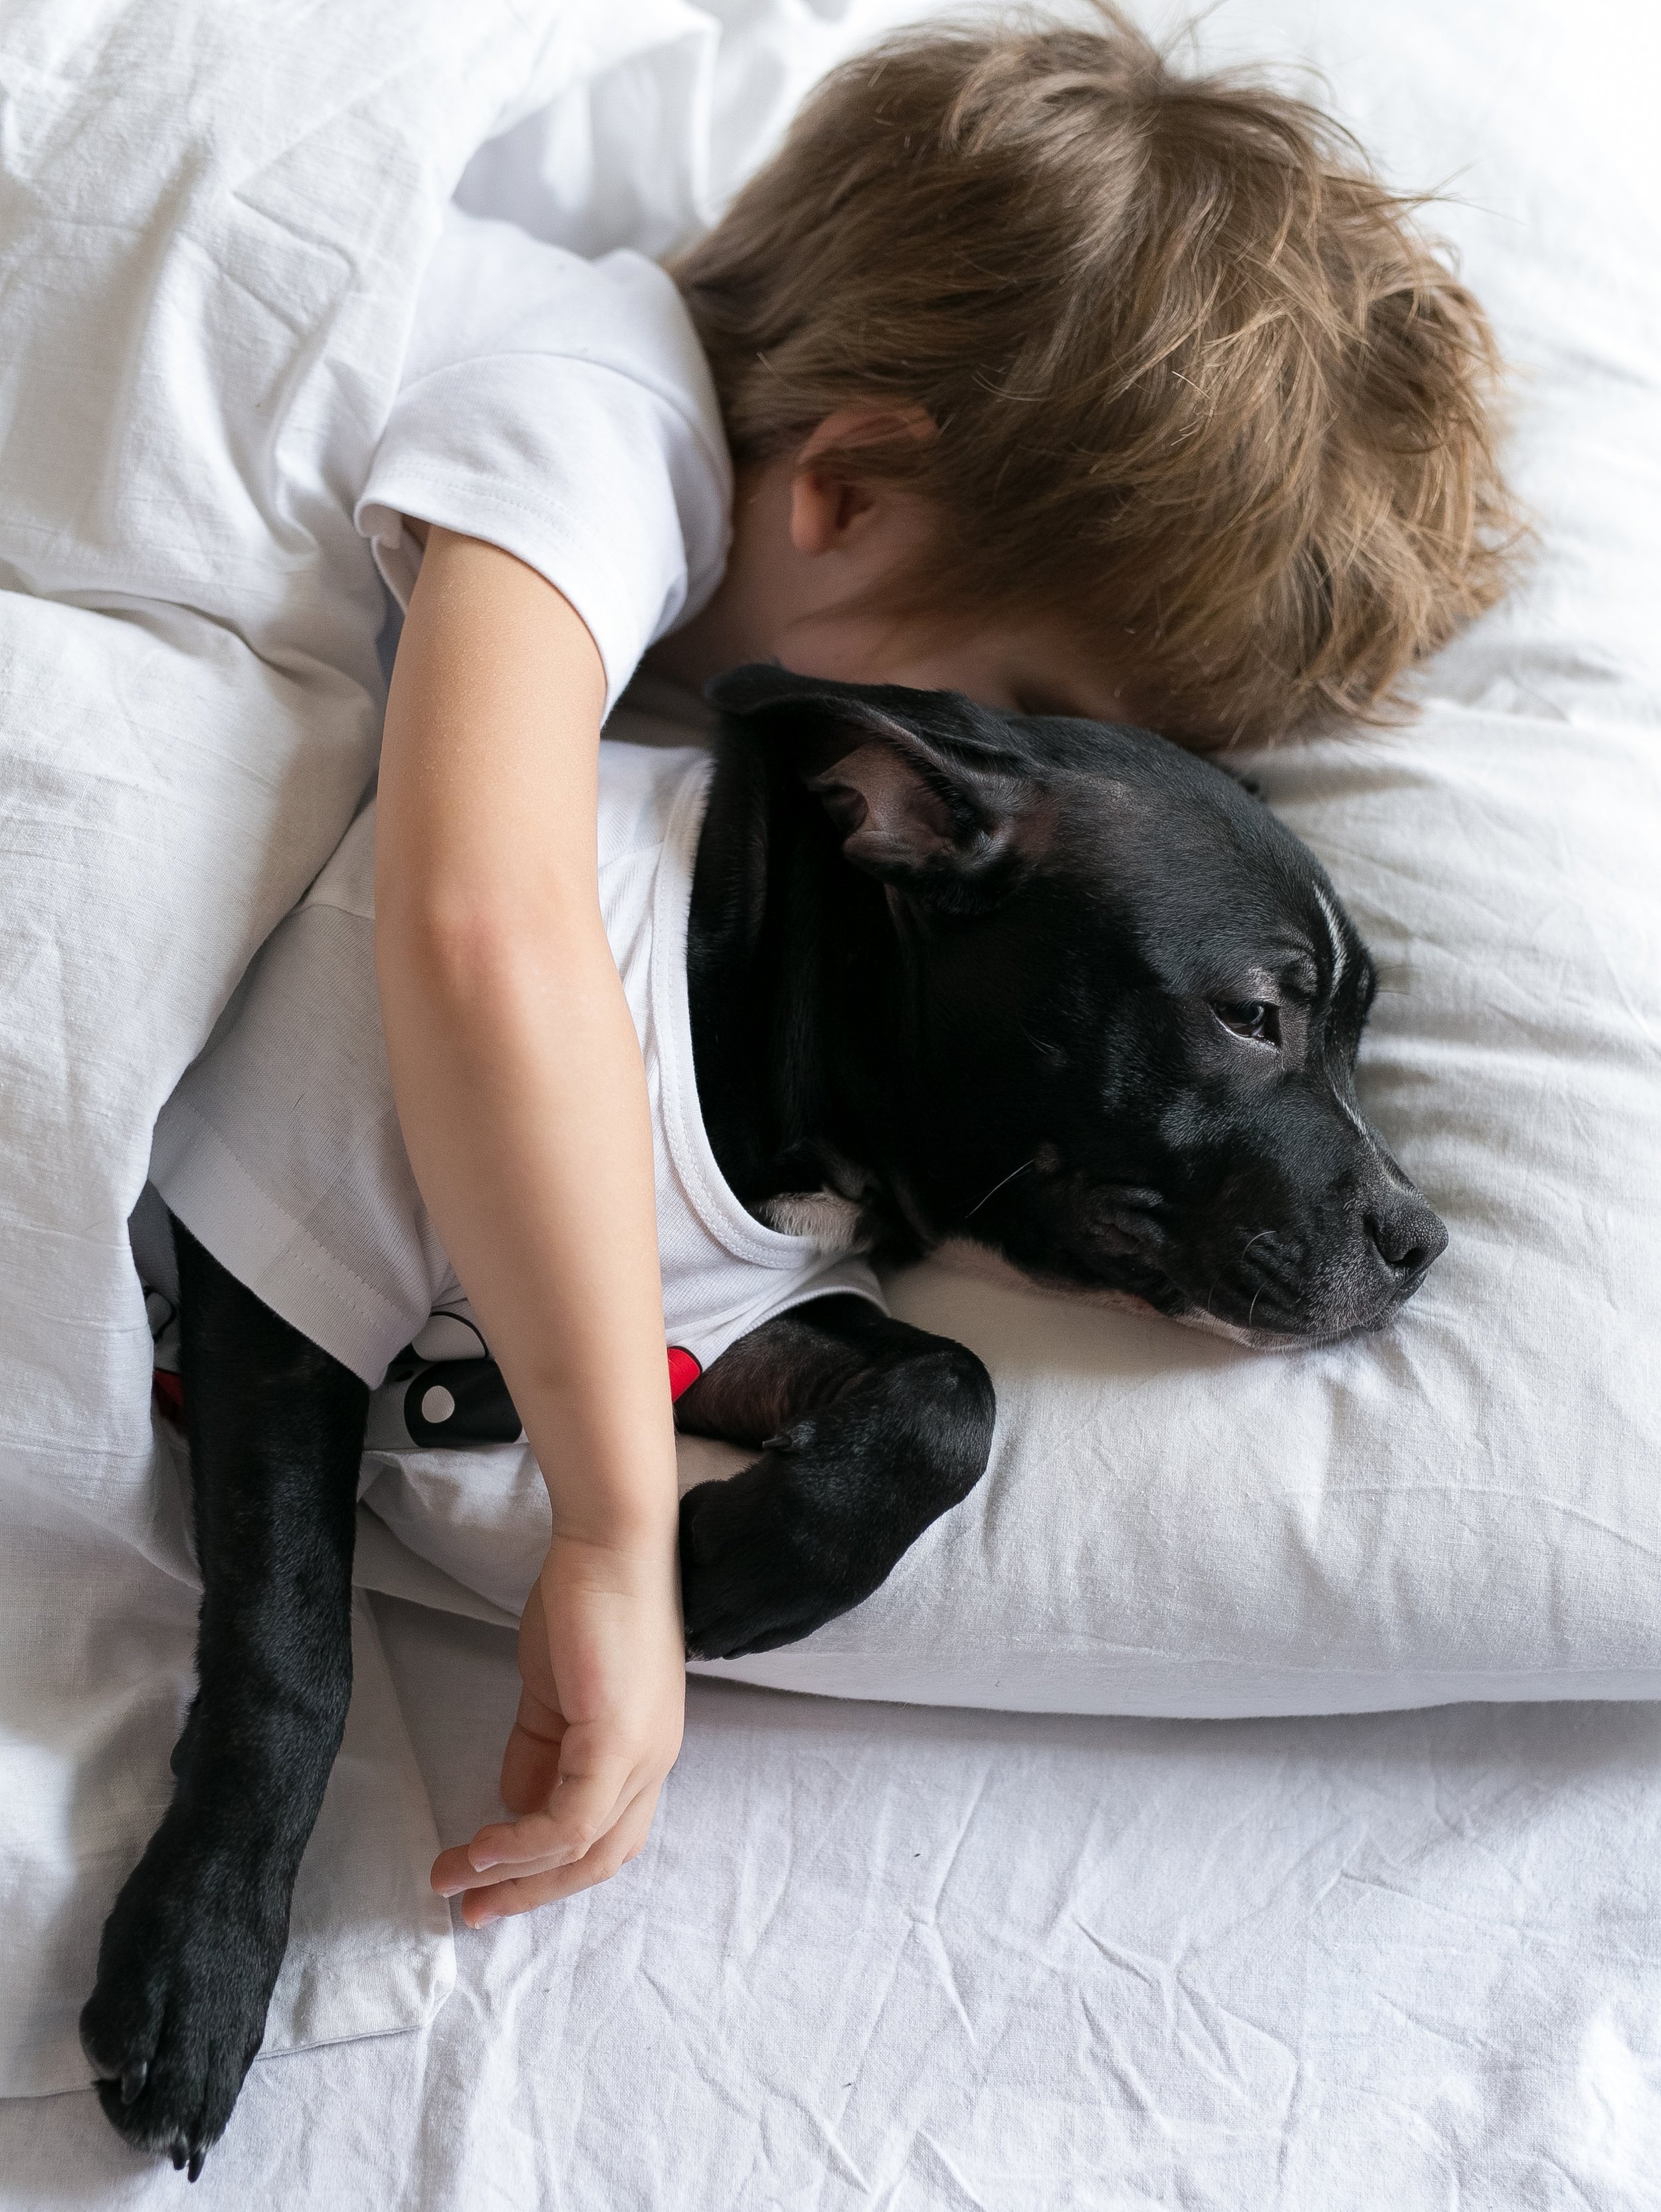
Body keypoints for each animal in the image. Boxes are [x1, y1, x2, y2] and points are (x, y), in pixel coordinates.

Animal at [84, 663, 1450, 2167]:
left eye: (1360, 1033)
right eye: (1252, 1014)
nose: (1423, 1238)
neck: (751, 996)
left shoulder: (725, 1314)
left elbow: (953, 1391)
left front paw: (730, 1562)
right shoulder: (290, 1261)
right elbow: (289, 1646)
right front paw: (201, 1957)